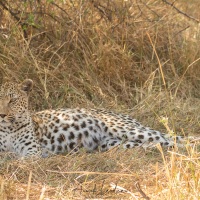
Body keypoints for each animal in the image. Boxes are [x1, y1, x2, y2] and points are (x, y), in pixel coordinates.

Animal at [0, 79, 188, 157]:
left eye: (12, 100)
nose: (2, 114)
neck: (7, 129)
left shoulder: (32, 151)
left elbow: (18, 158)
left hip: (126, 128)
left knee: (174, 138)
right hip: (115, 143)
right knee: (159, 144)